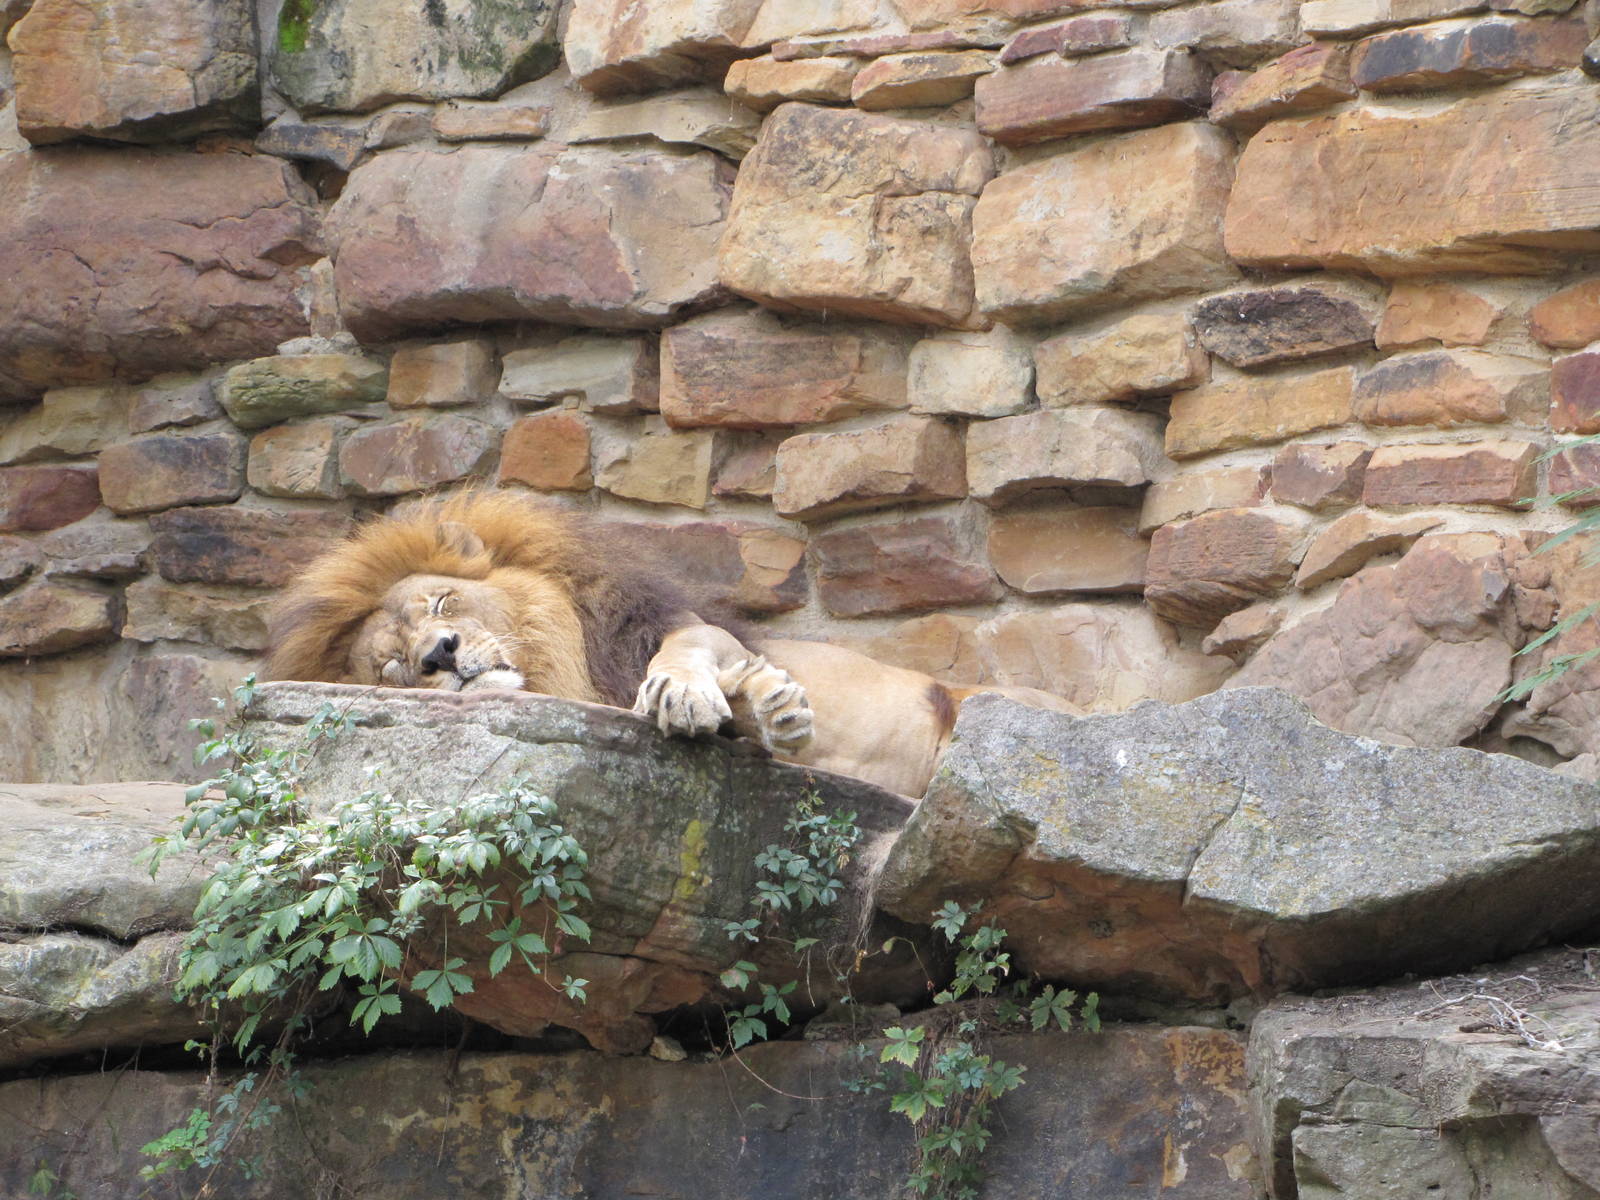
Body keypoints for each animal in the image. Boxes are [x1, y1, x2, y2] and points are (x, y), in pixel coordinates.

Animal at [264, 490, 1075, 796]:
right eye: (393, 668)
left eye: (440, 601)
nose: (440, 653)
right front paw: (764, 712)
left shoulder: (681, 625)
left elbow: (683, 656)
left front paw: (710, 697)